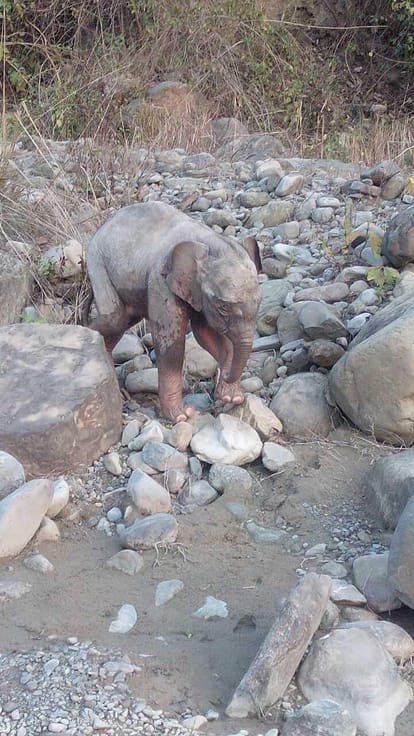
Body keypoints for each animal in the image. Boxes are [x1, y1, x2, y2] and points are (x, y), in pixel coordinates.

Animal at [85, 201, 261, 423]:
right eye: (223, 307)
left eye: (259, 302)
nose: (227, 374)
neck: (209, 240)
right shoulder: (161, 281)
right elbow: (172, 346)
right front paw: (182, 416)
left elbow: (205, 334)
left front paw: (232, 397)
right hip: (97, 263)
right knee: (115, 319)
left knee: (123, 320)